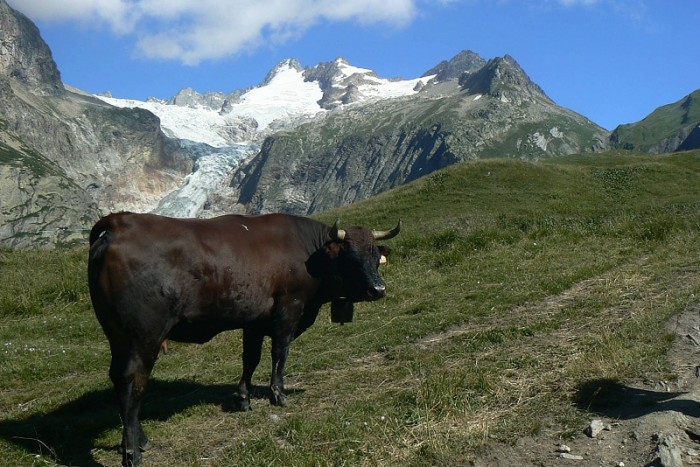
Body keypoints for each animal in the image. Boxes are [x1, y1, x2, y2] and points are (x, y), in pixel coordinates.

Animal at [89, 213, 400, 467]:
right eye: (351, 258)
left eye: (376, 256)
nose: (379, 289)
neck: (308, 252)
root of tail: (119, 221)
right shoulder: (289, 309)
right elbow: (280, 352)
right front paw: (278, 393)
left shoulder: (255, 319)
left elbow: (251, 357)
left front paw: (242, 397)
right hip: (144, 336)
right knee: (135, 382)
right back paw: (132, 451)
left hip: (118, 336)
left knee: (120, 380)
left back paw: (136, 440)